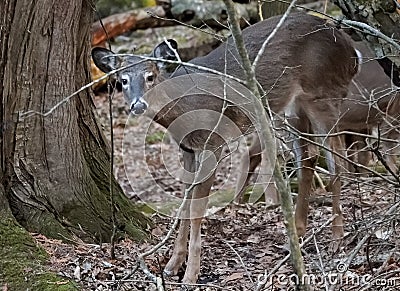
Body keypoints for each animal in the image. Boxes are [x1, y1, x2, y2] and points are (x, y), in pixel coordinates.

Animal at [93, 12, 360, 286]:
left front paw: (190, 274)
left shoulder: (212, 141)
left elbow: (197, 208)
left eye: (150, 76)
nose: (138, 104)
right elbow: (184, 204)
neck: (183, 107)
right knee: (307, 159)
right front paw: (172, 265)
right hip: (293, 107)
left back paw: (336, 239)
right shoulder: (187, 148)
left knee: (336, 163)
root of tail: (351, 51)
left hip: (323, 94)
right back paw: (297, 234)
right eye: (122, 80)